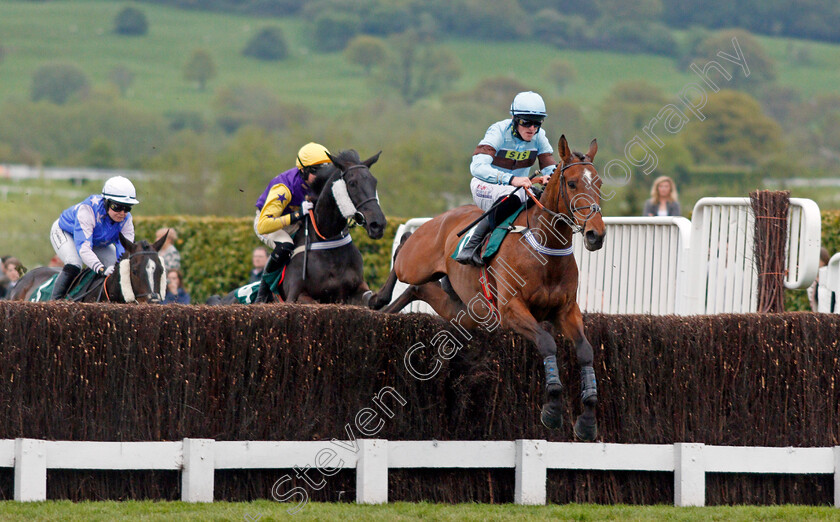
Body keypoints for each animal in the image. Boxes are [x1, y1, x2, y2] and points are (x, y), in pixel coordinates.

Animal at [213, 148, 390, 304]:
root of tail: (223, 298)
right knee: (281, 246)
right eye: (352, 183)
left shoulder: (357, 289)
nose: (377, 224)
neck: (326, 239)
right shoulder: (296, 296)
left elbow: (372, 299)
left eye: (374, 182)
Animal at [374, 136, 604, 436]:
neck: (545, 250)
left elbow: (586, 351)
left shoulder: (566, 310)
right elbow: (547, 342)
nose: (596, 235)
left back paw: (387, 310)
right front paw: (552, 409)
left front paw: (587, 419)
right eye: (573, 183)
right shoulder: (511, 310)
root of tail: (444, 216)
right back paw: (376, 298)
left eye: (599, 183)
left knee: (418, 288)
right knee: (402, 246)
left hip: (466, 312)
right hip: (416, 263)